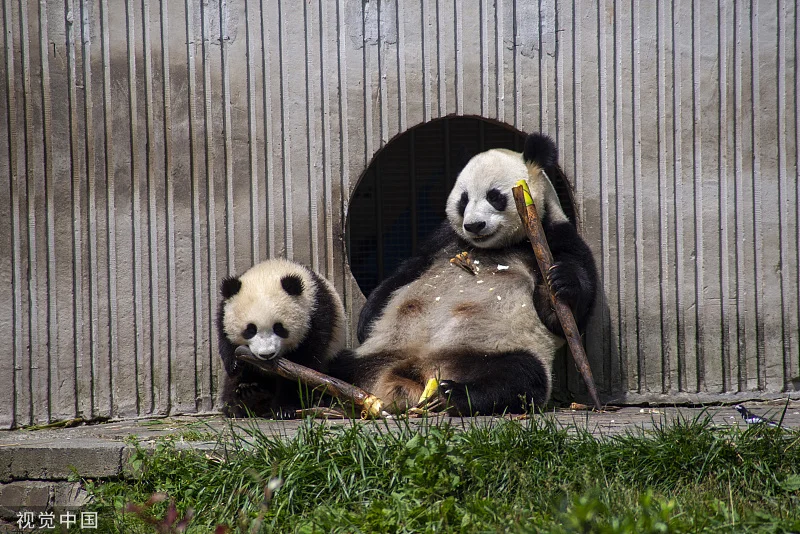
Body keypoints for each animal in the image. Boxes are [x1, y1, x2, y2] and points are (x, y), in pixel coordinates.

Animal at [217, 260, 346, 418]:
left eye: (278, 328)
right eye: (250, 330)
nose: (266, 355)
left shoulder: (316, 317)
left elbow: (301, 367)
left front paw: (284, 409)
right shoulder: (223, 313)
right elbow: (226, 343)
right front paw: (236, 365)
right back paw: (247, 396)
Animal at [328, 134, 596, 418]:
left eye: (494, 196)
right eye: (464, 199)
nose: (474, 225)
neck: (496, 246)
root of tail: (420, 372)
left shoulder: (554, 238)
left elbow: (566, 318)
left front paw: (561, 282)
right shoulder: (442, 241)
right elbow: (404, 273)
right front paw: (365, 321)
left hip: (492, 349)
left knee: (520, 376)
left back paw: (454, 394)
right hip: (379, 352)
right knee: (334, 363)